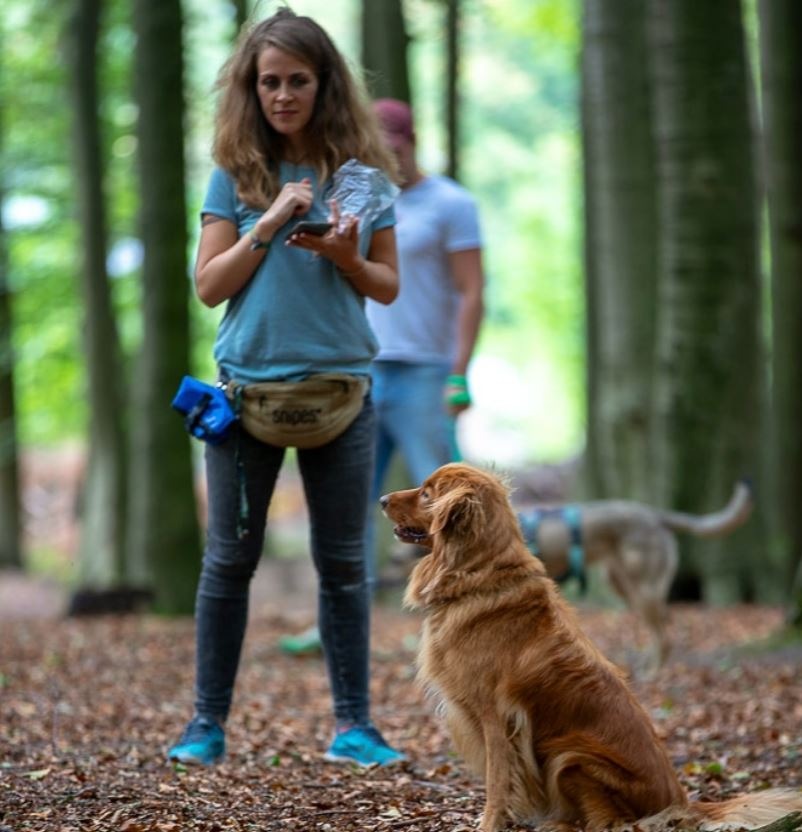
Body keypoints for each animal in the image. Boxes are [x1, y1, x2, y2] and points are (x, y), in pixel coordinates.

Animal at [382, 464, 800, 832]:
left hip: (571, 755)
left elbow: (498, 783)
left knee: (613, 824)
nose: (382, 498)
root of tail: (683, 801)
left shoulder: (495, 718)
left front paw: (489, 824)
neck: (477, 576)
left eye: (426, 493)